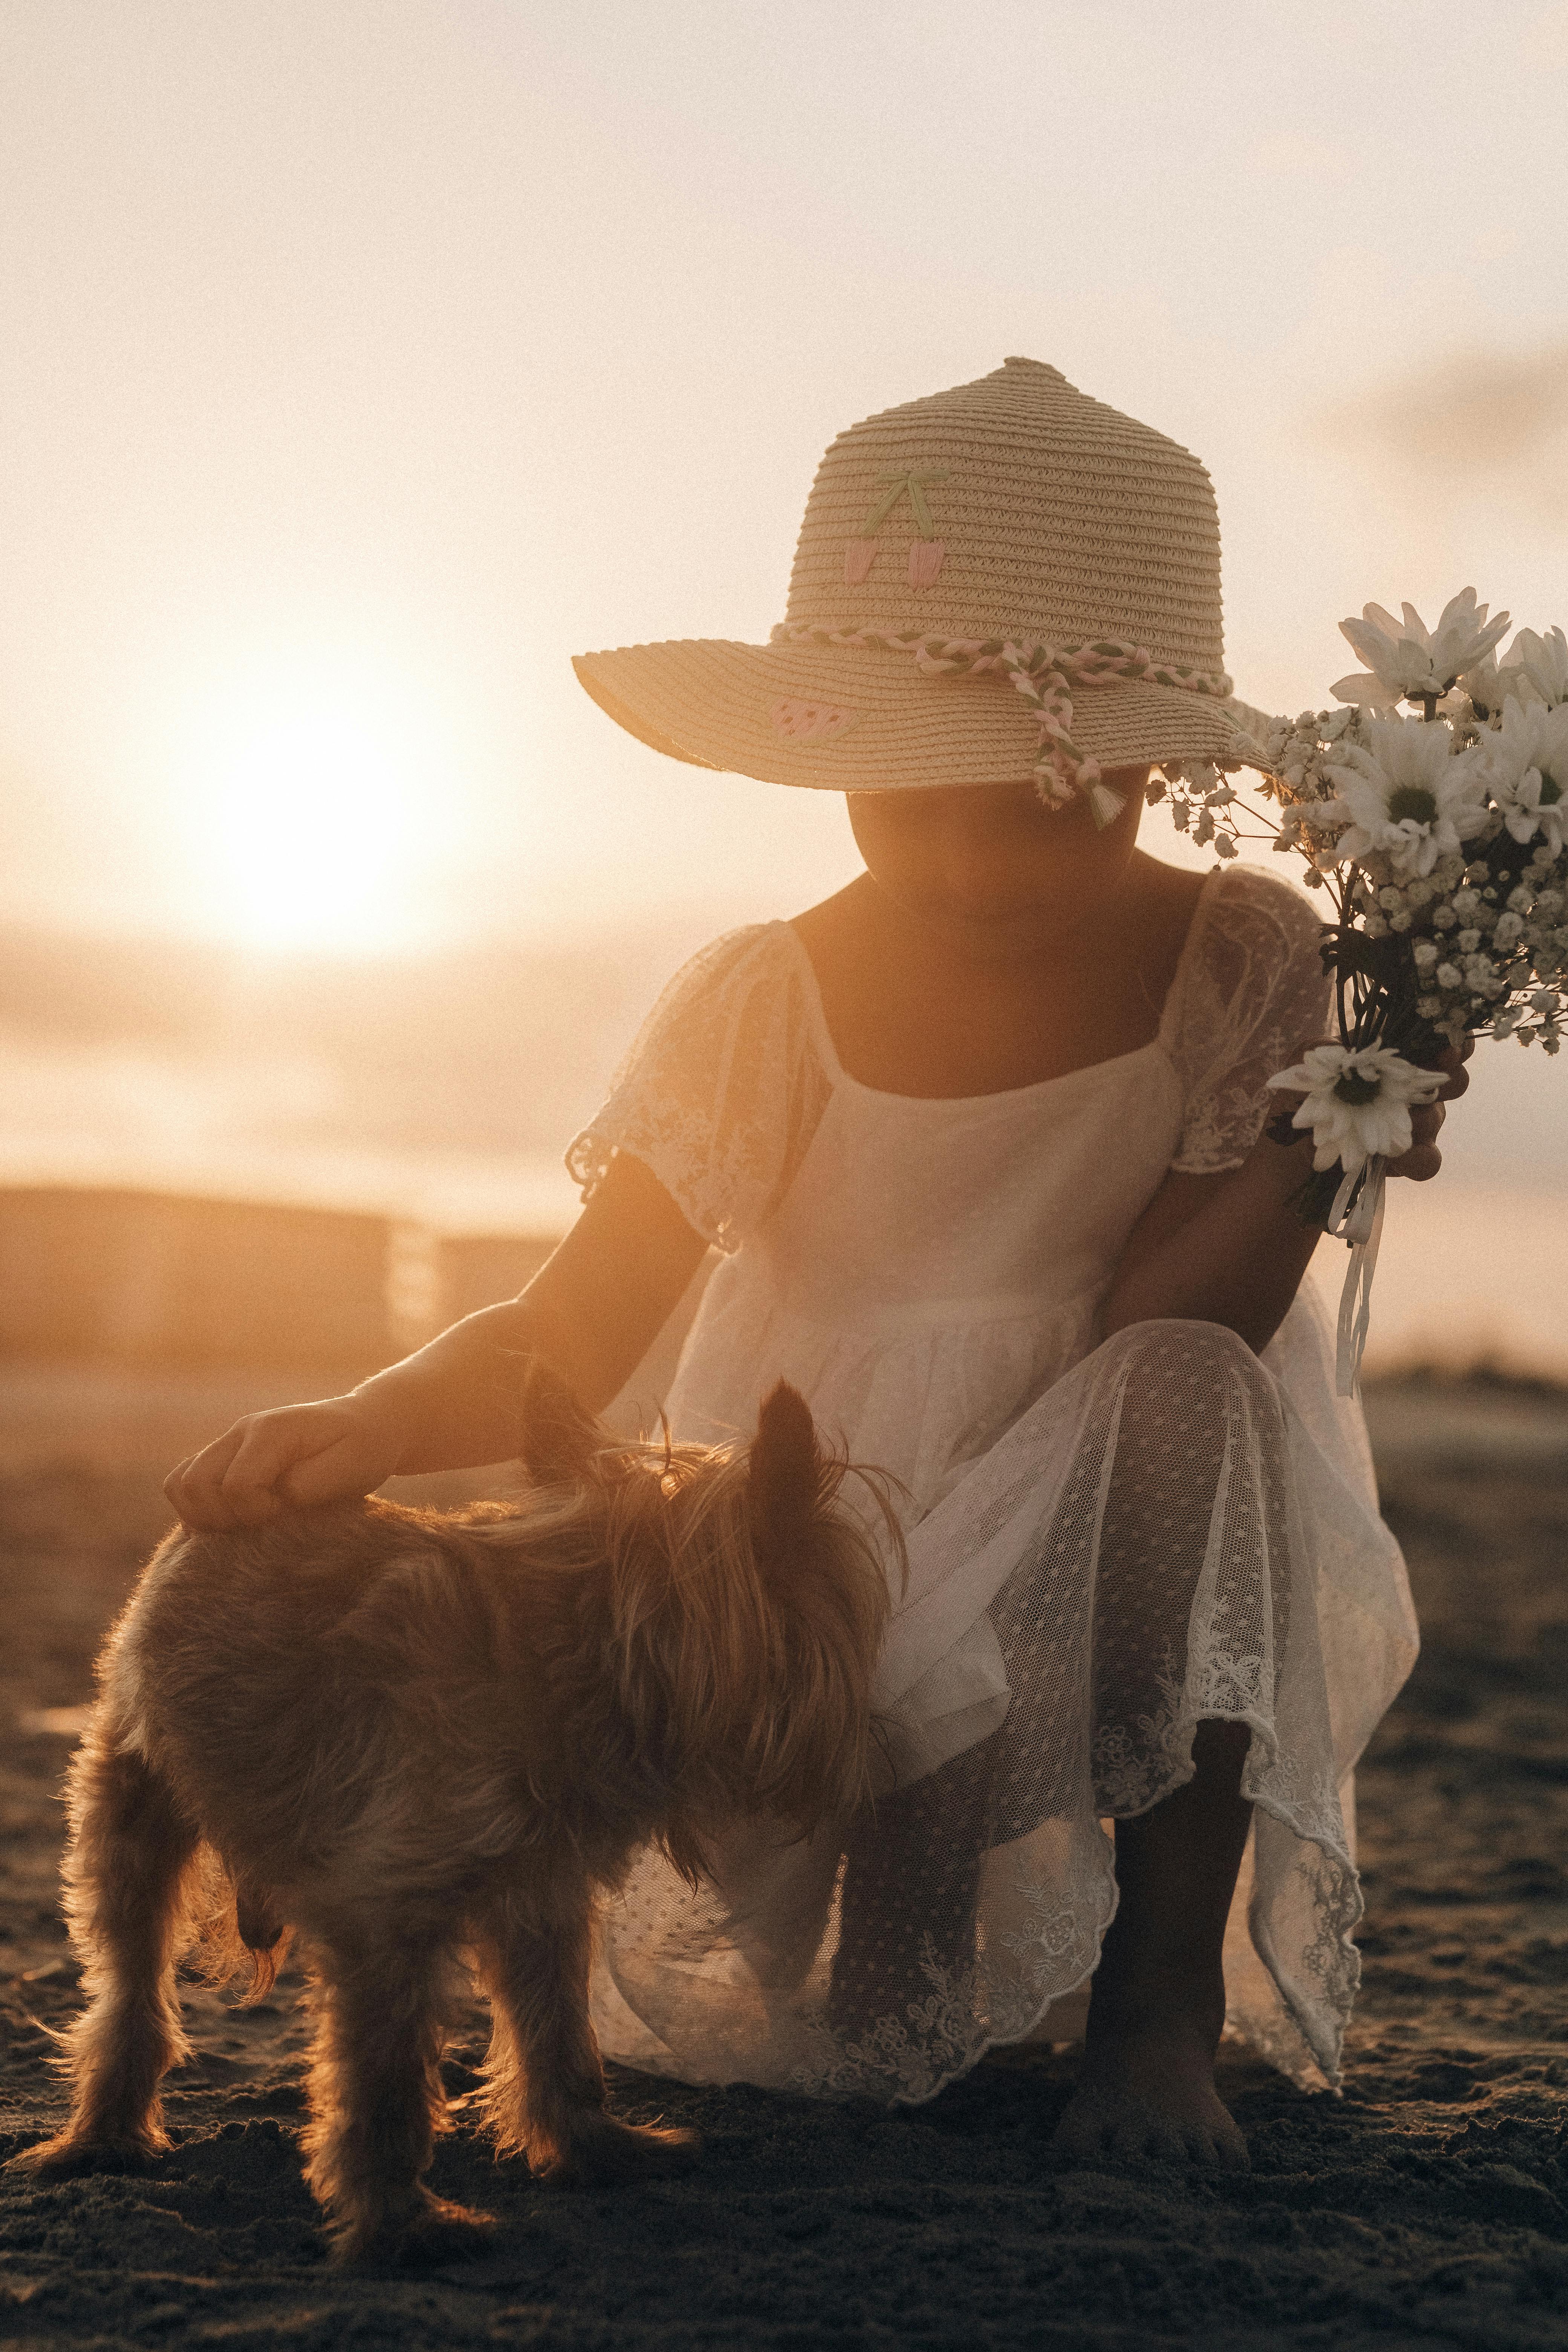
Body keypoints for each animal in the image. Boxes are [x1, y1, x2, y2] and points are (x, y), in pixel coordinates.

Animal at [9, 1374, 893, 2258]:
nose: (874, 1739)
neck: (594, 1643)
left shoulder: (544, 1896)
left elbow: (557, 2033)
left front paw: (594, 2149)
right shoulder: (384, 1914)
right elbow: (387, 2083)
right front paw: (402, 2226)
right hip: (134, 1807)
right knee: (131, 1989)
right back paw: (103, 2139)